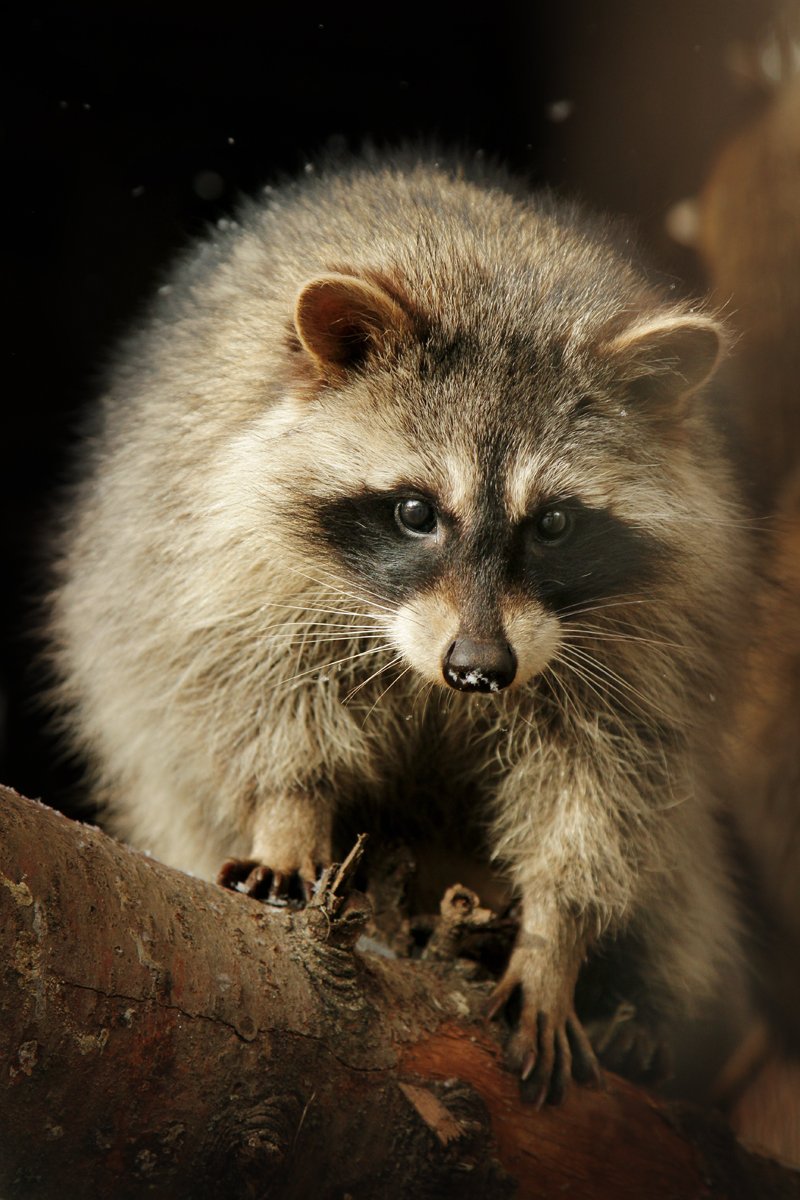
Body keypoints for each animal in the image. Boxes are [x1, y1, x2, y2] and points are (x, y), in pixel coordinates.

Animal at [50, 152, 748, 1104]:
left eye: (554, 524)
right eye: (416, 513)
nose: (480, 668)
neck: (497, 280)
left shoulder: (651, 635)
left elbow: (607, 786)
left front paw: (557, 936)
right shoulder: (215, 554)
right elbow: (251, 699)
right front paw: (290, 813)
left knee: (680, 880)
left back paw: (642, 1003)